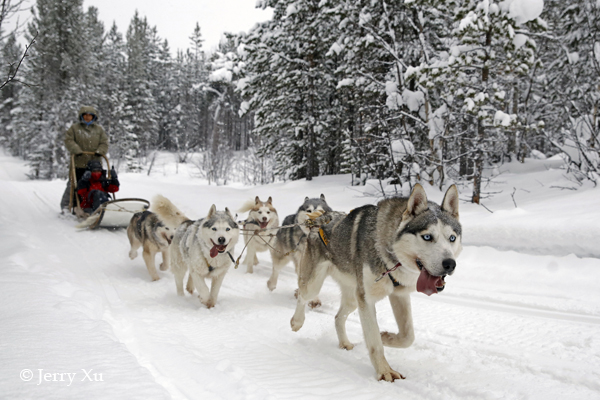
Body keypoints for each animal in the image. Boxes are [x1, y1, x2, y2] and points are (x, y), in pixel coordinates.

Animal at [292, 184, 464, 382]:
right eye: (427, 237)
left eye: (452, 238)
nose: (450, 264)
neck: (391, 255)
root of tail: (320, 220)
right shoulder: (366, 300)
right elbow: (374, 342)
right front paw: (384, 371)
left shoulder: (399, 295)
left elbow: (408, 336)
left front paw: (386, 337)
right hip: (315, 285)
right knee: (302, 295)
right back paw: (296, 321)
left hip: (353, 298)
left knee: (338, 317)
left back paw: (344, 342)